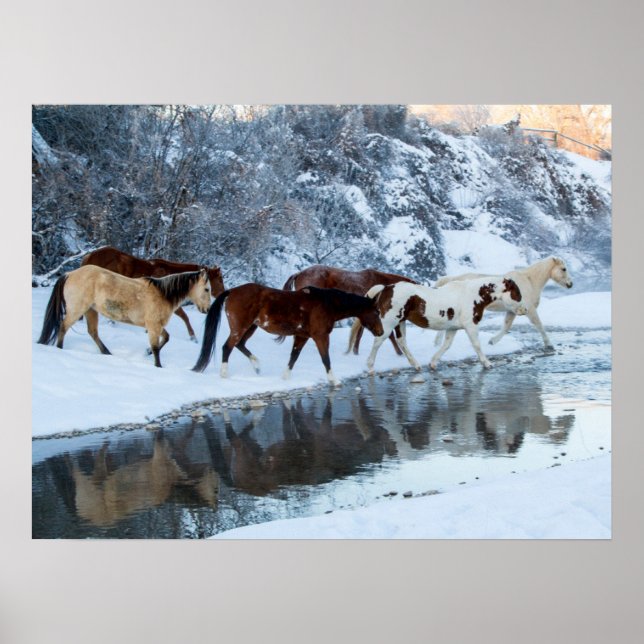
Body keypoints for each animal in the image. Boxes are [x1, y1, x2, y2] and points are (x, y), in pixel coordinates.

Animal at [37, 265, 212, 367]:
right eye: (207, 289)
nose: (207, 309)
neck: (163, 294)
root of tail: (70, 273)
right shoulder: (153, 326)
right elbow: (156, 348)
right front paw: (158, 365)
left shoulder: (156, 326)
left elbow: (166, 338)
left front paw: (146, 352)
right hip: (77, 309)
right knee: (63, 327)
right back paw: (60, 349)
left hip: (91, 311)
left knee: (92, 332)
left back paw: (107, 353)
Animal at [192, 284, 384, 386]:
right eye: (376, 312)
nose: (381, 332)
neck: (327, 304)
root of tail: (232, 291)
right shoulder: (320, 336)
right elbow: (326, 359)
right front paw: (334, 381)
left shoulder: (302, 336)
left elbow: (294, 356)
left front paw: (284, 378)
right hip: (240, 328)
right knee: (227, 347)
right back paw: (224, 374)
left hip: (250, 328)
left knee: (240, 345)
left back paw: (257, 366)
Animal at [347, 276, 527, 372]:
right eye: (517, 293)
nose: (524, 309)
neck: (473, 295)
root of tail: (386, 288)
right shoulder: (471, 325)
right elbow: (476, 345)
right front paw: (487, 363)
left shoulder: (453, 328)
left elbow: (446, 345)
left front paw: (433, 363)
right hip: (390, 321)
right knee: (379, 340)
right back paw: (370, 367)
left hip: (400, 322)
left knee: (401, 341)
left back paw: (416, 365)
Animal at [433, 256, 573, 349]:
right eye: (564, 269)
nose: (570, 284)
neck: (529, 281)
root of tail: (451, 280)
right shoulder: (530, 309)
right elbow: (539, 325)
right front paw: (549, 344)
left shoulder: (512, 311)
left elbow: (506, 327)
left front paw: (492, 341)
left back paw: (437, 343)